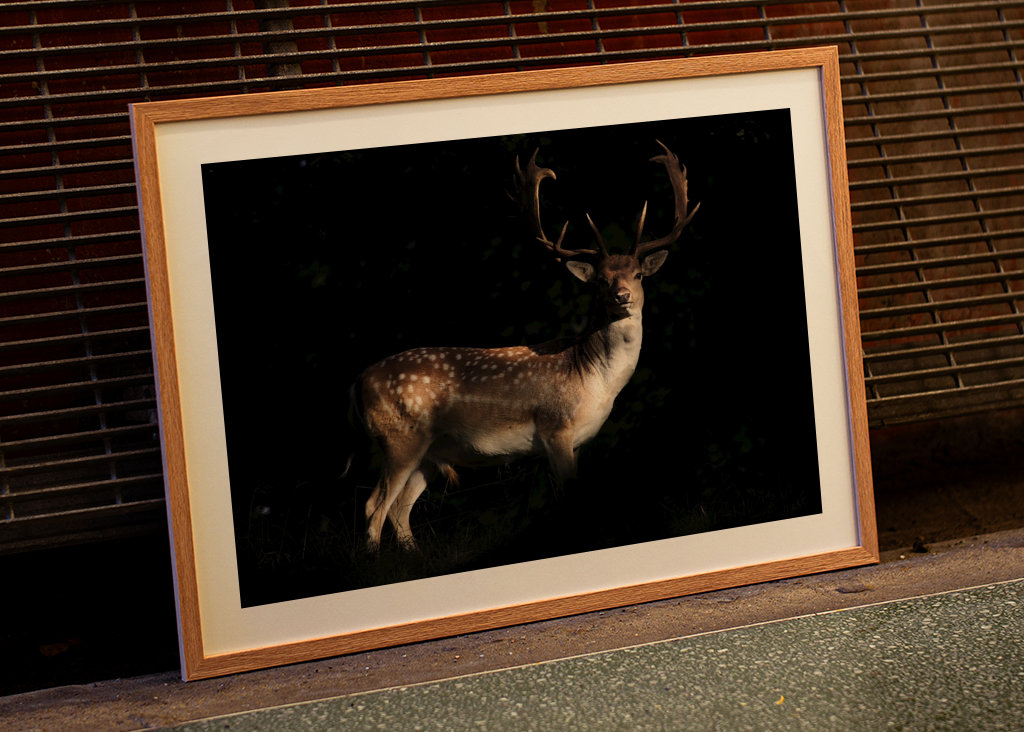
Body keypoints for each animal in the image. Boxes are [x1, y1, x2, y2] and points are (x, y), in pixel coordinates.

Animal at [351, 142, 698, 552]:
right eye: (600, 280)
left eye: (639, 274)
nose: (622, 296)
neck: (594, 380)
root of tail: (358, 383)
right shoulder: (555, 429)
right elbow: (566, 498)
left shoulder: (578, 441)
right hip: (398, 437)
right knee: (374, 505)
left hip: (430, 453)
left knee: (398, 510)